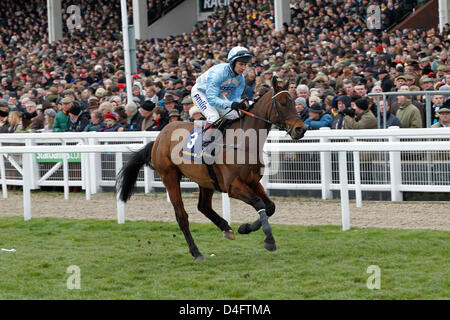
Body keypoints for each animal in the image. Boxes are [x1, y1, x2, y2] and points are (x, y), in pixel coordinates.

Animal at [116, 77, 306, 260]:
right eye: (283, 102)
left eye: (294, 100)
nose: (300, 129)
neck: (243, 141)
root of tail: (159, 137)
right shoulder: (232, 186)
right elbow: (259, 203)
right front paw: (269, 239)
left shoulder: (252, 181)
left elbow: (270, 206)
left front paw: (244, 228)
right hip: (169, 176)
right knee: (182, 216)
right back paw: (196, 252)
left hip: (205, 180)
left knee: (203, 206)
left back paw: (226, 228)